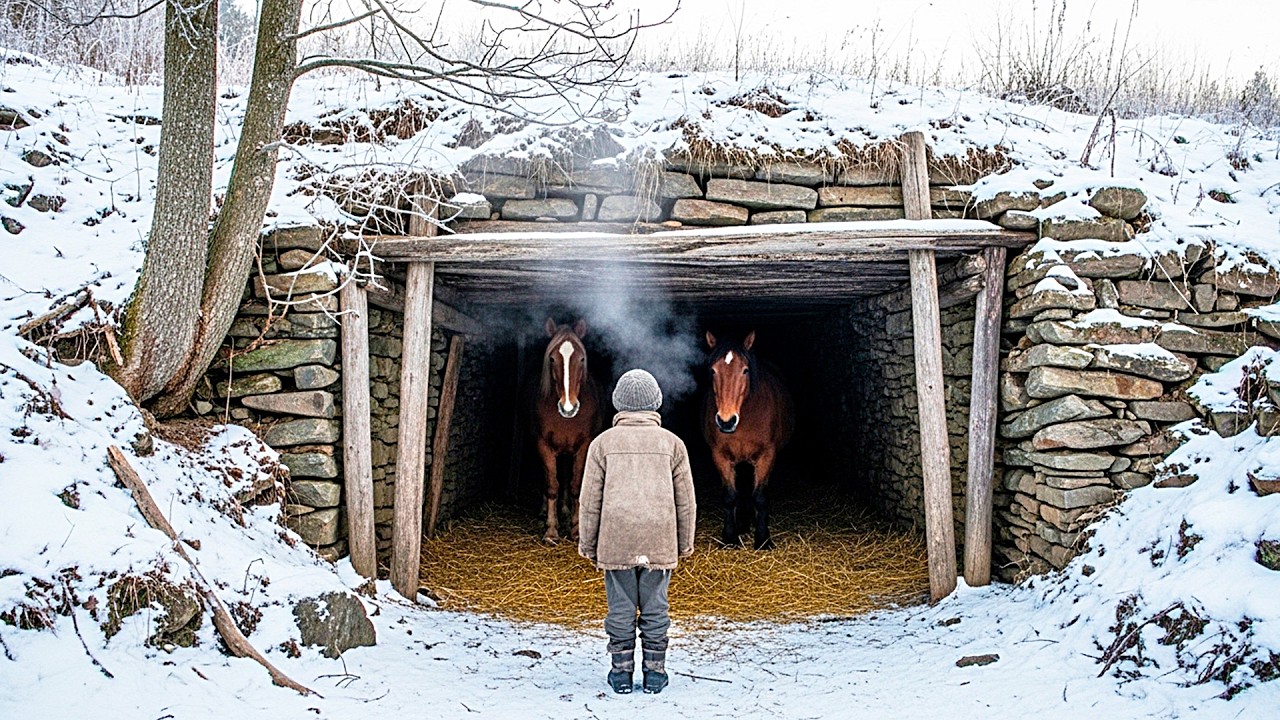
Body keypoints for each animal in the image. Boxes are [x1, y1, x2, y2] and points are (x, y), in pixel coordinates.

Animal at [528, 318, 604, 543]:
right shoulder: (543, 445)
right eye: (552, 358)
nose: (568, 407)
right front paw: (551, 530)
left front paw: (577, 530)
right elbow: (552, 485)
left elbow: (576, 486)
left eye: (581, 359)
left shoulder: (584, 446)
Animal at [703, 330, 794, 550]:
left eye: (745, 370)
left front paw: (763, 540)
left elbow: (760, 497)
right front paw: (730, 538)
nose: (726, 421)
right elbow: (730, 497)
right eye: (713, 371)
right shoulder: (720, 456)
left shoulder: (766, 456)